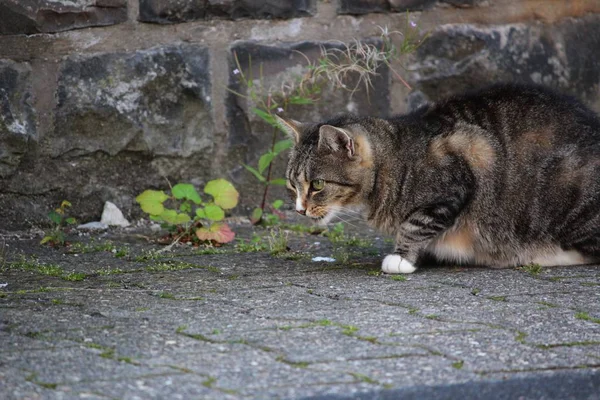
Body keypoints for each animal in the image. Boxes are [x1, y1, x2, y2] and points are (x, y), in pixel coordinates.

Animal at [278, 83, 600, 274]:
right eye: (293, 184)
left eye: (317, 185)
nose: (299, 209)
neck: (395, 160)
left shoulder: (465, 164)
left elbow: (416, 224)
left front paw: (402, 257)